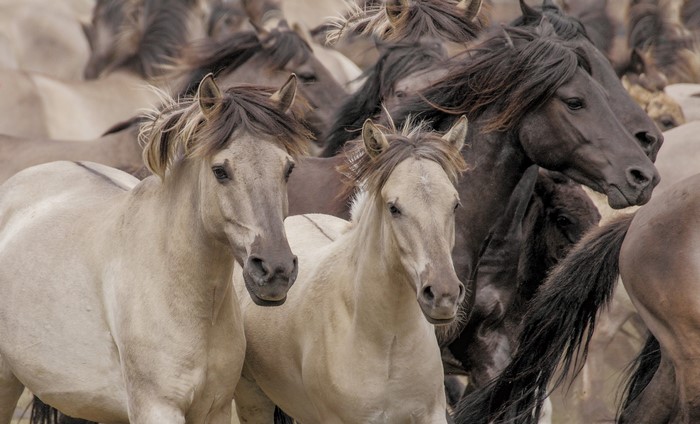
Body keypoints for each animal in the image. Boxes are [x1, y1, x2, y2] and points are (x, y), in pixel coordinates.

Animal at [234, 117, 468, 424]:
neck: (387, 342)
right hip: (252, 400)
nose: (443, 295)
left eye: (455, 204)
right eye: (394, 208)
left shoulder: (430, 415)